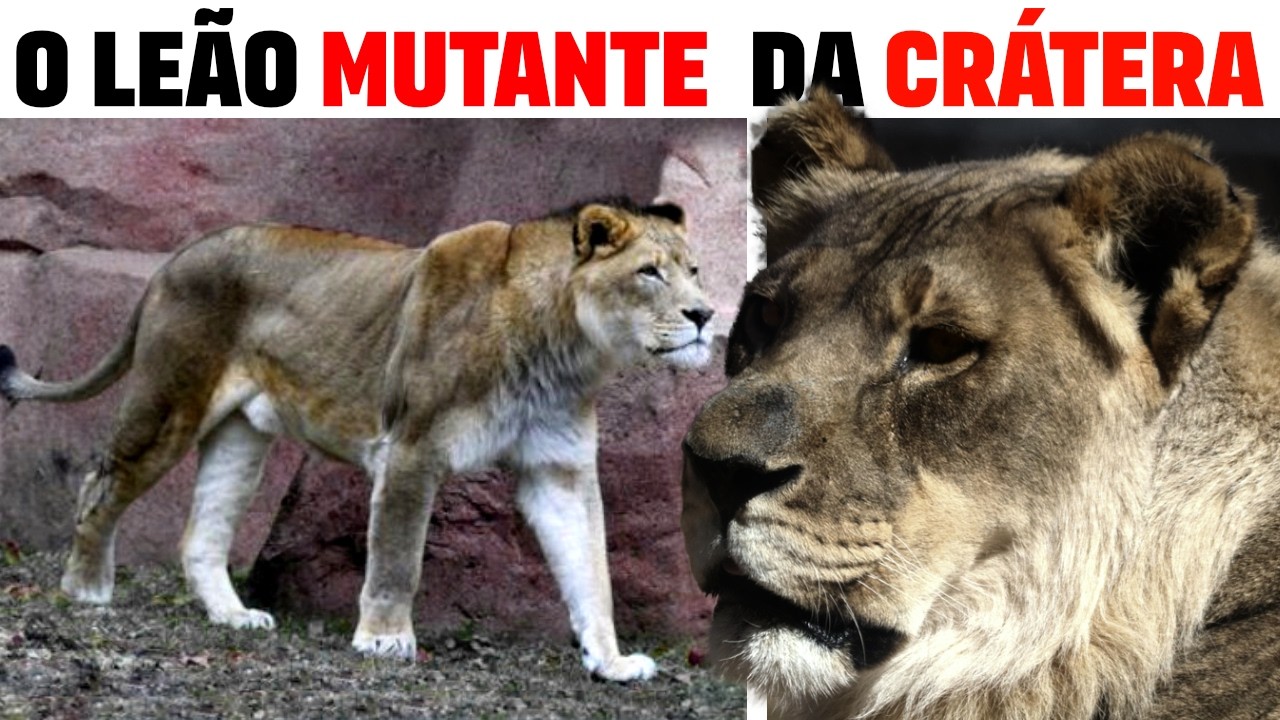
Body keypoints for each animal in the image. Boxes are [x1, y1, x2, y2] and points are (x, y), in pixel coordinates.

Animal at [0, 198, 713, 683]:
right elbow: (399, 557)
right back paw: (87, 588)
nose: (706, 314)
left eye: (694, 270)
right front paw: (385, 639)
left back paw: (233, 618)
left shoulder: (558, 470)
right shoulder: (413, 450)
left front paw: (612, 661)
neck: (563, 350)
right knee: (100, 484)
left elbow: (591, 568)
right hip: (170, 403)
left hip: (241, 437)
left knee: (199, 536)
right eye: (649, 273)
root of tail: (177, 257)